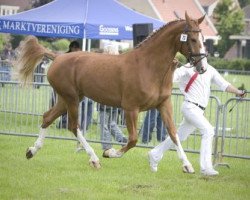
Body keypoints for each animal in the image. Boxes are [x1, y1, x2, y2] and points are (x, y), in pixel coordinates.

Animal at [15, 12, 207, 172]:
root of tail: (58, 57)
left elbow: (174, 134)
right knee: (73, 126)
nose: (203, 67)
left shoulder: (164, 105)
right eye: (192, 38)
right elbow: (133, 139)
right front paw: (110, 152)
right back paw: (94, 159)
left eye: (203, 38)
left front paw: (187, 165)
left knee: (47, 117)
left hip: (67, 98)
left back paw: (31, 150)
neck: (148, 66)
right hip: (71, 99)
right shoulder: (130, 108)